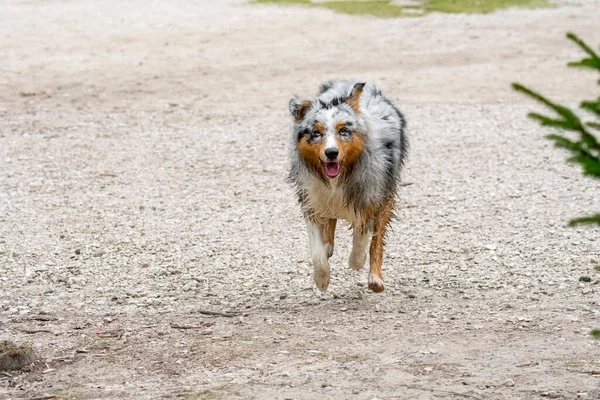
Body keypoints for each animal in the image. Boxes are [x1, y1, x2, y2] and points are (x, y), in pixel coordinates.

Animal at [288, 80, 408, 294]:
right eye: (316, 133)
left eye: (343, 131)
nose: (331, 153)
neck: (337, 179)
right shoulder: (311, 199)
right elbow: (316, 249)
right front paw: (321, 278)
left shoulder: (369, 197)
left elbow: (363, 238)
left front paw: (356, 261)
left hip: (386, 193)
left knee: (376, 240)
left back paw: (375, 278)